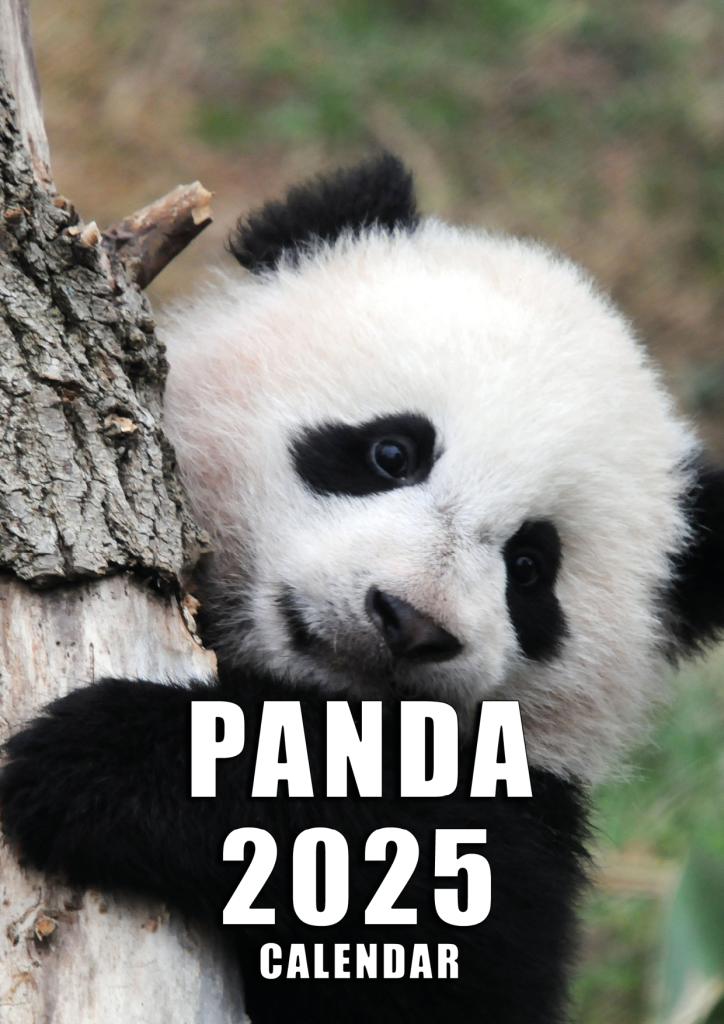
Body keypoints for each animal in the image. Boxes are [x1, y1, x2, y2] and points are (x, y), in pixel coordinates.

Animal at [1, 154, 724, 1024]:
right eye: (391, 452)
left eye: (529, 568)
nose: (408, 622)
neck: (303, 693)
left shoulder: (529, 819)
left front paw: (102, 758)